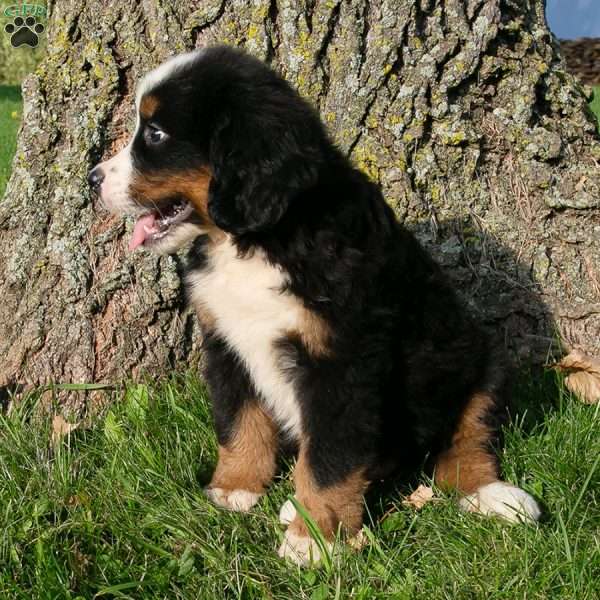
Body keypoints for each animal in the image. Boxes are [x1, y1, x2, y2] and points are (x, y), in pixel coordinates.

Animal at [88, 45, 540, 564]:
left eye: (156, 134)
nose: (92, 178)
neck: (257, 241)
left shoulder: (340, 363)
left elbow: (330, 459)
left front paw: (314, 539)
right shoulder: (226, 341)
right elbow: (239, 421)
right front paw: (234, 488)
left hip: (482, 359)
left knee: (466, 440)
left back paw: (493, 494)